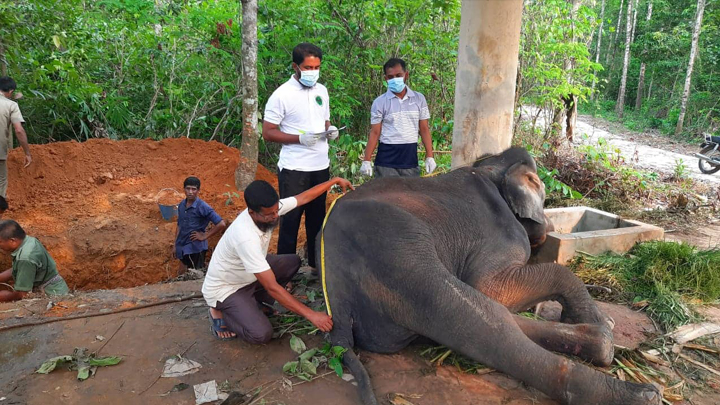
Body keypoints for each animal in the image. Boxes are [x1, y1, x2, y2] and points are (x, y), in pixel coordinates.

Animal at [318, 146, 660, 404]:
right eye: (543, 192)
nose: (549, 227)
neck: (490, 167)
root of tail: (336, 300)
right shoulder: (498, 231)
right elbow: (492, 287)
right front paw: (598, 317)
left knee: (487, 317)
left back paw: (603, 339)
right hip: (396, 245)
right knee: (476, 319)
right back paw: (639, 392)